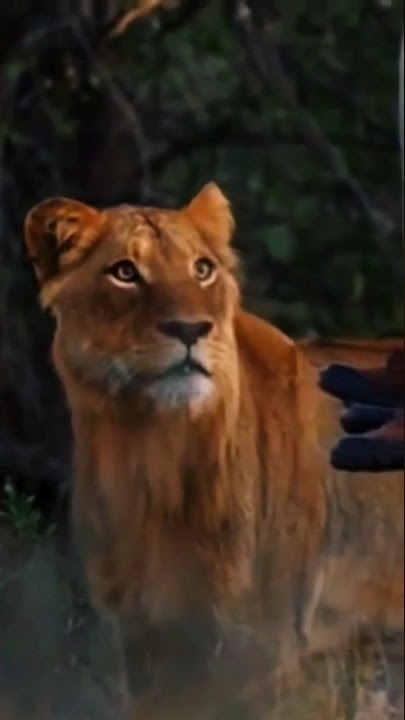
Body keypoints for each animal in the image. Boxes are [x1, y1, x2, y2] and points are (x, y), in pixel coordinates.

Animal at [24, 183, 404, 716]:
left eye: (202, 268)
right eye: (125, 272)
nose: (190, 329)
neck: (152, 458)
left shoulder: (264, 652)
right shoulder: (143, 646)